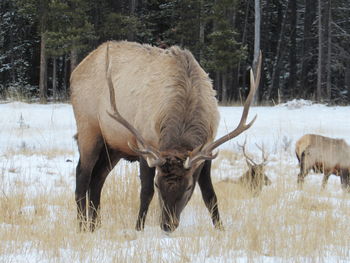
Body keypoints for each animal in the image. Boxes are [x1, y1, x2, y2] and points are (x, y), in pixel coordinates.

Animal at [70, 41, 262, 233]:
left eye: (189, 187)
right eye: (157, 183)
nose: (168, 225)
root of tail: (75, 72)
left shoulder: (206, 151)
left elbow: (210, 195)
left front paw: (221, 228)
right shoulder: (145, 146)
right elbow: (146, 192)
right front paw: (138, 228)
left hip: (113, 147)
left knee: (97, 179)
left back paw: (95, 226)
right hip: (89, 129)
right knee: (82, 176)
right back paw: (82, 227)